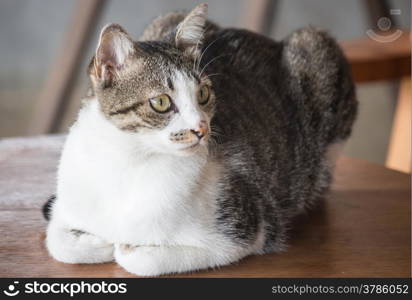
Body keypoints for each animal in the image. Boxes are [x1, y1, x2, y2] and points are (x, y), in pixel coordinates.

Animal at [42, 3, 358, 276]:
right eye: (161, 102)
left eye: (203, 94)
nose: (201, 128)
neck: (129, 160)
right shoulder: (66, 206)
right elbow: (57, 241)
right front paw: (96, 240)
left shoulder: (246, 229)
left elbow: (144, 261)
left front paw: (124, 247)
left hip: (317, 48)